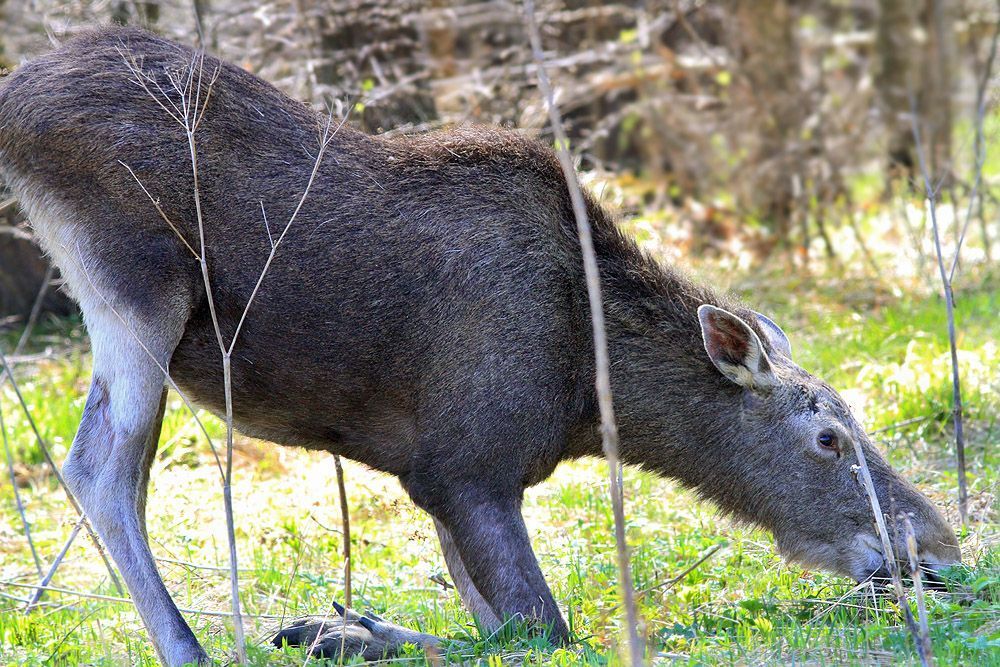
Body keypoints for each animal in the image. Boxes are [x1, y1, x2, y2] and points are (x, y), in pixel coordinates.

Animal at [0, 27, 960, 666]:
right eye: (827, 436)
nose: (939, 550)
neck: (590, 398)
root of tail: (15, 100)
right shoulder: (467, 467)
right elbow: (544, 629)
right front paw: (346, 626)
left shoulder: (437, 477)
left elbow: (500, 624)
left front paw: (342, 626)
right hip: (135, 291)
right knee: (100, 470)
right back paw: (189, 646)